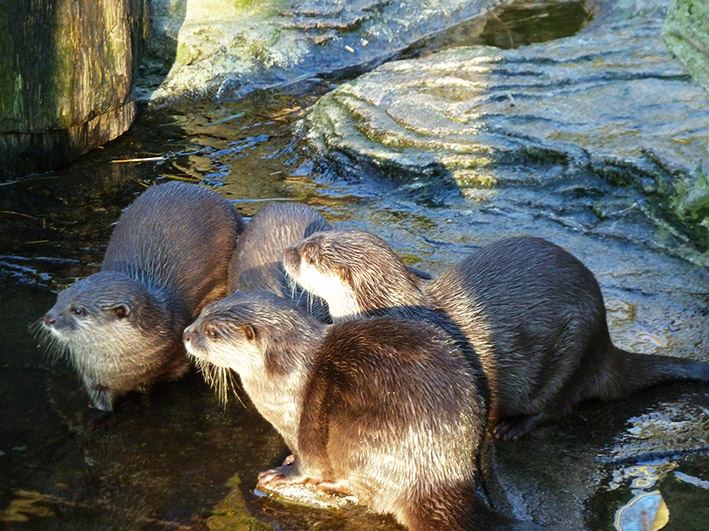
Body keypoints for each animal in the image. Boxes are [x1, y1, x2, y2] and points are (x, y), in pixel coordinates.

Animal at [42, 183, 246, 412]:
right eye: (60, 298)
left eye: (78, 310)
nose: (48, 318)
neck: (122, 368)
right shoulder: (95, 378)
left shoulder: (173, 360)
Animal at [183, 290, 544, 531]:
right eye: (202, 313)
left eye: (212, 333)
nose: (186, 334)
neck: (286, 375)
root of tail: (440, 475)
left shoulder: (301, 420)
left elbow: (307, 459)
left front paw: (280, 474)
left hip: (357, 438)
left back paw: (334, 486)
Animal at [282, 232, 708, 440]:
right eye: (308, 239)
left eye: (310, 256)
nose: (286, 252)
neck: (394, 307)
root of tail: (606, 342)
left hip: (574, 350)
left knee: (558, 406)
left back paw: (511, 428)